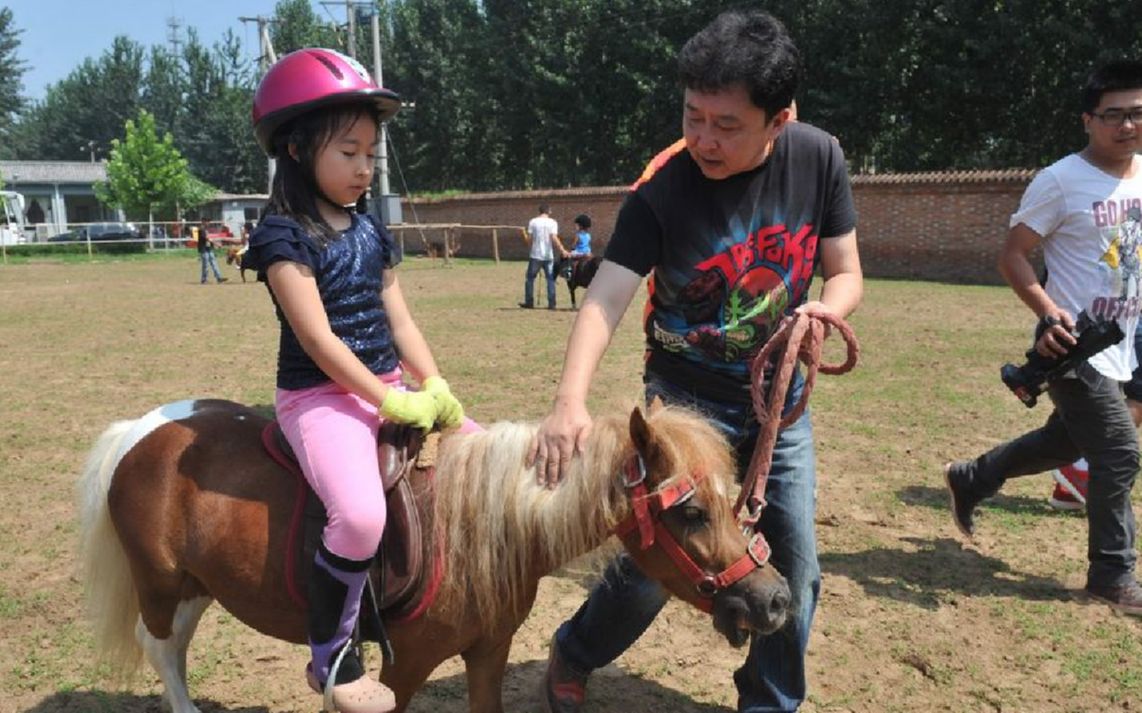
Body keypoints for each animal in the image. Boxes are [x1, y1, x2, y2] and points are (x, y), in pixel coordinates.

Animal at [80, 397, 790, 708]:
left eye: (735, 501)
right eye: (691, 512)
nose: (776, 598)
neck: (486, 524)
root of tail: (142, 431)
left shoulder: (488, 651)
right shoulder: (406, 666)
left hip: (198, 585)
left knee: (173, 647)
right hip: (160, 583)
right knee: (161, 651)